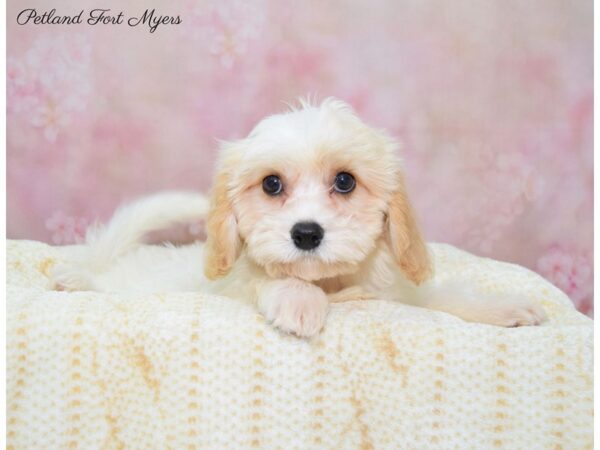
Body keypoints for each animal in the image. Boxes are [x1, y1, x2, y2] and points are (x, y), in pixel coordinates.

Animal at [54, 98, 548, 338]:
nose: (306, 233)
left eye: (345, 182)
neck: (331, 284)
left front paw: (503, 307)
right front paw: (298, 301)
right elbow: (269, 278)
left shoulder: (399, 294)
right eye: (271, 185)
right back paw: (76, 280)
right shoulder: (232, 286)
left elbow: (441, 298)